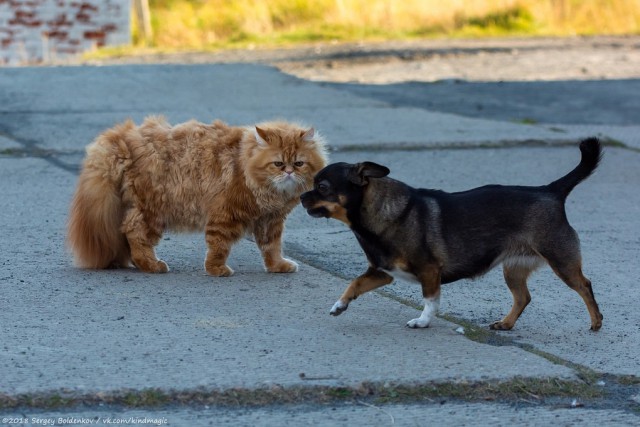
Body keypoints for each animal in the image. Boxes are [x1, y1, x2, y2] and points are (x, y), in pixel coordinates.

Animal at [68, 117, 328, 278]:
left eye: (299, 163)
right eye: (278, 164)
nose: (289, 172)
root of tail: (122, 137)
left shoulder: (270, 221)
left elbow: (272, 248)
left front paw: (278, 266)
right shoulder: (225, 215)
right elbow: (218, 246)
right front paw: (216, 270)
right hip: (153, 211)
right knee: (134, 234)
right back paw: (152, 265)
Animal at [300, 140, 600, 332]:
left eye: (322, 187)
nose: (301, 196)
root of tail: (550, 191)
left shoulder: (429, 271)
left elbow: (431, 300)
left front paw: (422, 321)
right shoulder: (382, 272)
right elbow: (355, 283)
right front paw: (340, 305)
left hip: (561, 261)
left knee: (584, 285)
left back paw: (596, 321)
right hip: (514, 269)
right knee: (523, 297)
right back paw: (506, 323)